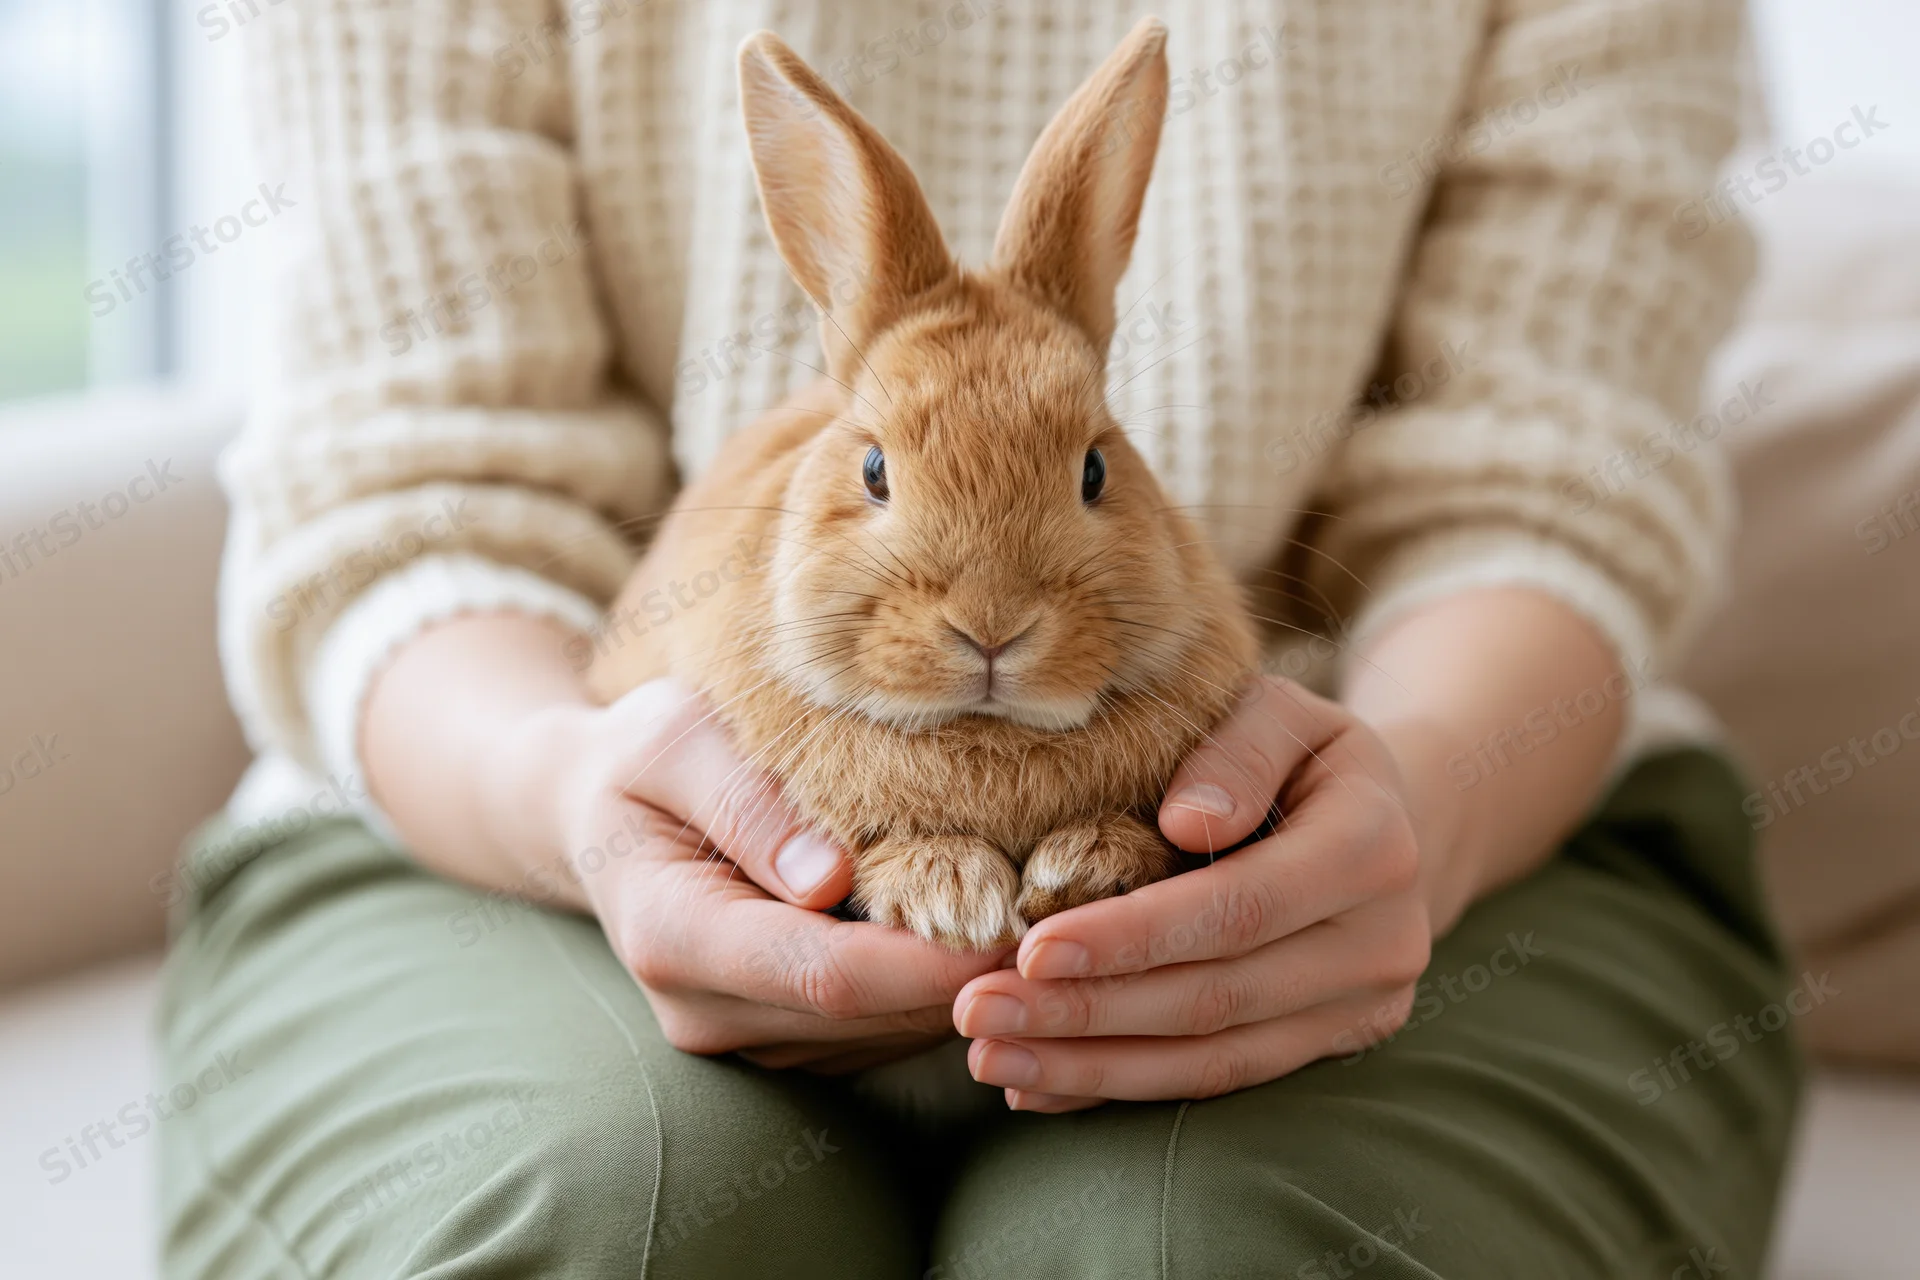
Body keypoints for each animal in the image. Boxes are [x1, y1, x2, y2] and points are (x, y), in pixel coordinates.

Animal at [587, 16, 1259, 951]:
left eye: (1095, 469)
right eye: (874, 470)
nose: (991, 627)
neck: (984, 735)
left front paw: (1081, 868)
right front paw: (952, 894)